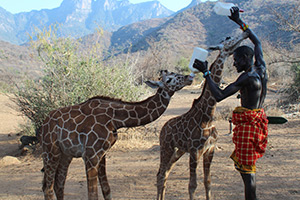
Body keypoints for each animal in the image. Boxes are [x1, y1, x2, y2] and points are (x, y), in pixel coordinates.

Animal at [39, 70, 192, 200]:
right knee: (47, 188)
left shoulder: (101, 154)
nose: (189, 77)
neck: (115, 118)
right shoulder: (90, 155)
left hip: (65, 154)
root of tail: (44, 123)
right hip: (50, 152)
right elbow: (93, 194)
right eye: (169, 79)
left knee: (58, 184)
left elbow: (107, 190)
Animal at [156, 31, 250, 200]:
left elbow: (208, 181)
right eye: (227, 38)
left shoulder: (210, 150)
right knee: (160, 174)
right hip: (166, 147)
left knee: (165, 173)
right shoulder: (194, 152)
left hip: (178, 150)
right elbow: (192, 185)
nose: (245, 32)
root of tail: (163, 128)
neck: (207, 117)